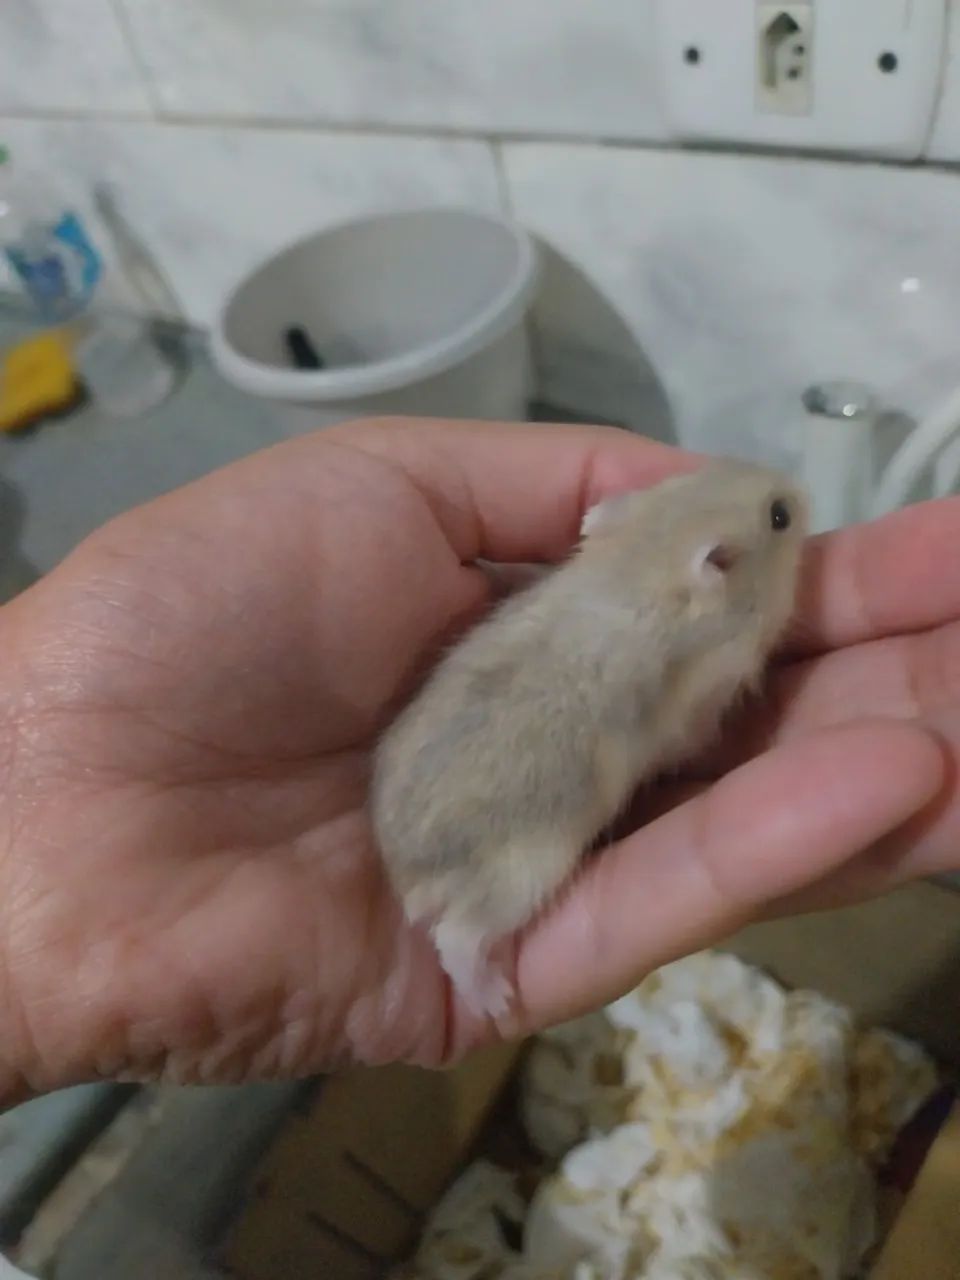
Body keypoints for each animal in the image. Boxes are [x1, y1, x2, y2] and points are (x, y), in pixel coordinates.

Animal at [371, 459, 808, 1019]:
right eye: (780, 516)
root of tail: (404, 874)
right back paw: (495, 999)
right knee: (457, 936)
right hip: (524, 872)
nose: (798, 485)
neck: (646, 560)